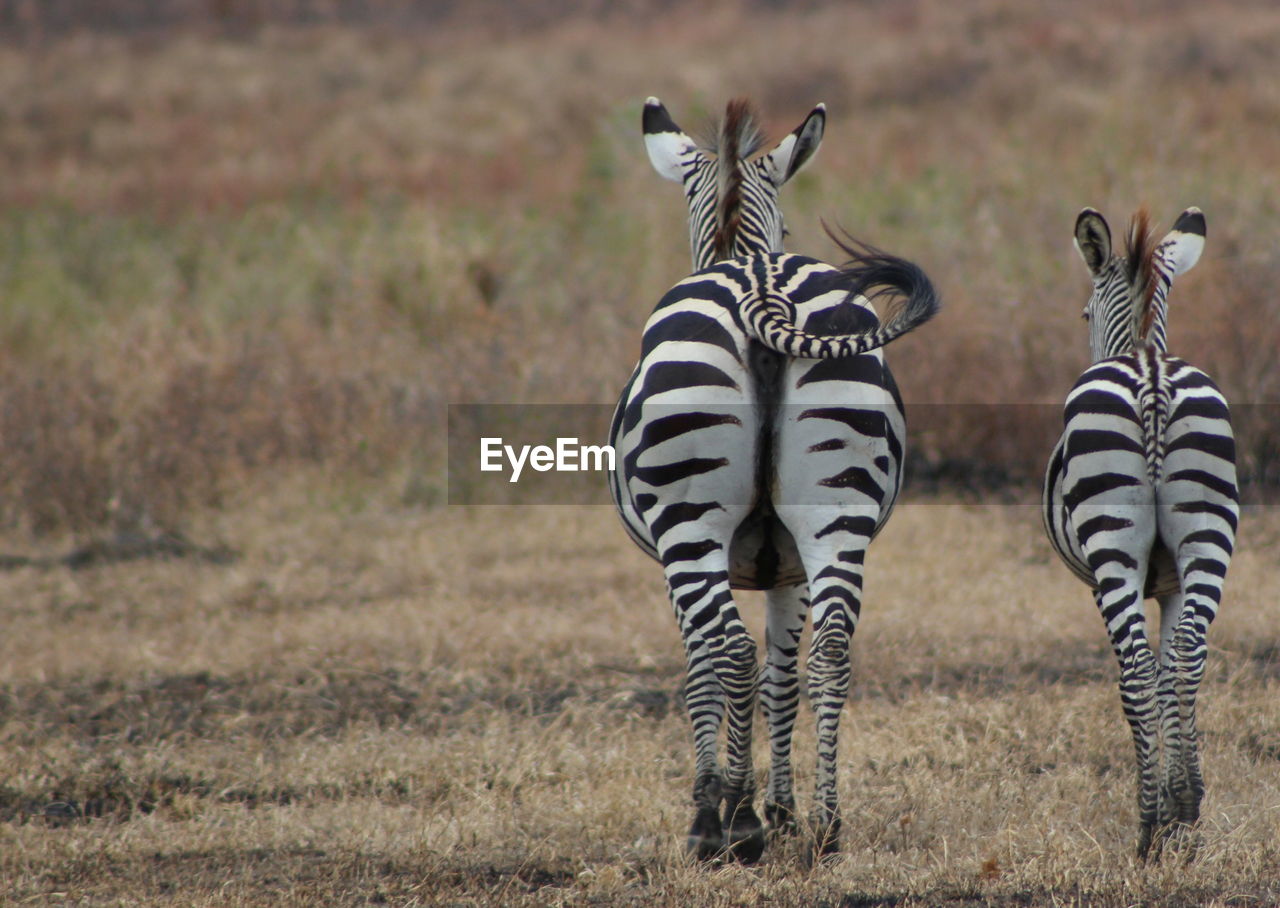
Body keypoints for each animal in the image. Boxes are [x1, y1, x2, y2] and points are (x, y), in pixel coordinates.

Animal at [609, 99, 942, 855]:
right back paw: (826, 824)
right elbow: (782, 678)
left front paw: (721, 806)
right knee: (832, 654)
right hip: (836, 513)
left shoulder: (681, 565)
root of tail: (759, 284)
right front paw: (784, 810)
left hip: (689, 524)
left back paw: (728, 824)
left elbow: (704, 671)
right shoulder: (786, 567)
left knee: (731, 652)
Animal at [1039, 207, 1239, 865]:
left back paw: (1149, 826)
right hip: (1208, 532)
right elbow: (1172, 666)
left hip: (1112, 551)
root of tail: (1150, 372)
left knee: (1133, 669)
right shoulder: (1172, 581)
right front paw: (1182, 809)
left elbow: (1146, 671)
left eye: (1083, 316)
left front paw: (1162, 813)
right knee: (1188, 657)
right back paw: (1189, 807)